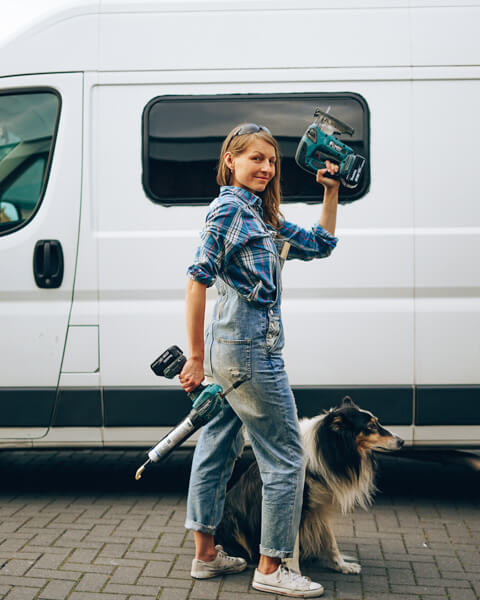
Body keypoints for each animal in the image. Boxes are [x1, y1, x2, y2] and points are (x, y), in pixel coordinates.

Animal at [216, 396, 404, 576]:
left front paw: (343, 566)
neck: (328, 448)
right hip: (230, 518)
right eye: (370, 426)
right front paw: (294, 573)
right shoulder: (296, 506)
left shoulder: (319, 508)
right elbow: (292, 549)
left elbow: (330, 541)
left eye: (376, 422)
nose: (401, 441)